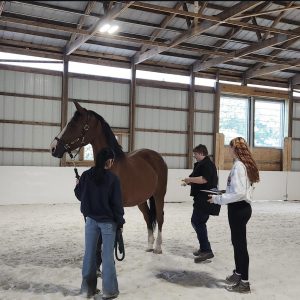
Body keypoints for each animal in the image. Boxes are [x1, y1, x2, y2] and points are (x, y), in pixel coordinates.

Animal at [51, 101, 169, 253]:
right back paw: (149, 246)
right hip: (141, 199)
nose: (53, 148)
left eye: (73, 124)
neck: (108, 167)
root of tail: (156, 157)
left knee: (160, 218)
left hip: (159, 194)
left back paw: (158, 247)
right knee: (148, 217)